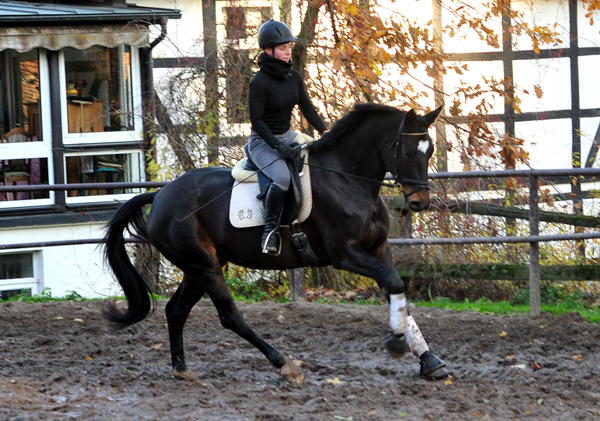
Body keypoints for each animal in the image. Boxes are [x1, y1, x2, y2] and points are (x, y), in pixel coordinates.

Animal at [103, 101, 448, 380]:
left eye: (430, 151)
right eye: (408, 152)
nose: (420, 203)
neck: (347, 178)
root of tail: (160, 195)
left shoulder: (378, 248)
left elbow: (396, 290)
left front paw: (428, 360)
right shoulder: (345, 254)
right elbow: (394, 284)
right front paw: (397, 342)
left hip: (199, 267)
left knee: (176, 311)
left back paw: (181, 369)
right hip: (204, 266)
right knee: (229, 316)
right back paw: (284, 364)